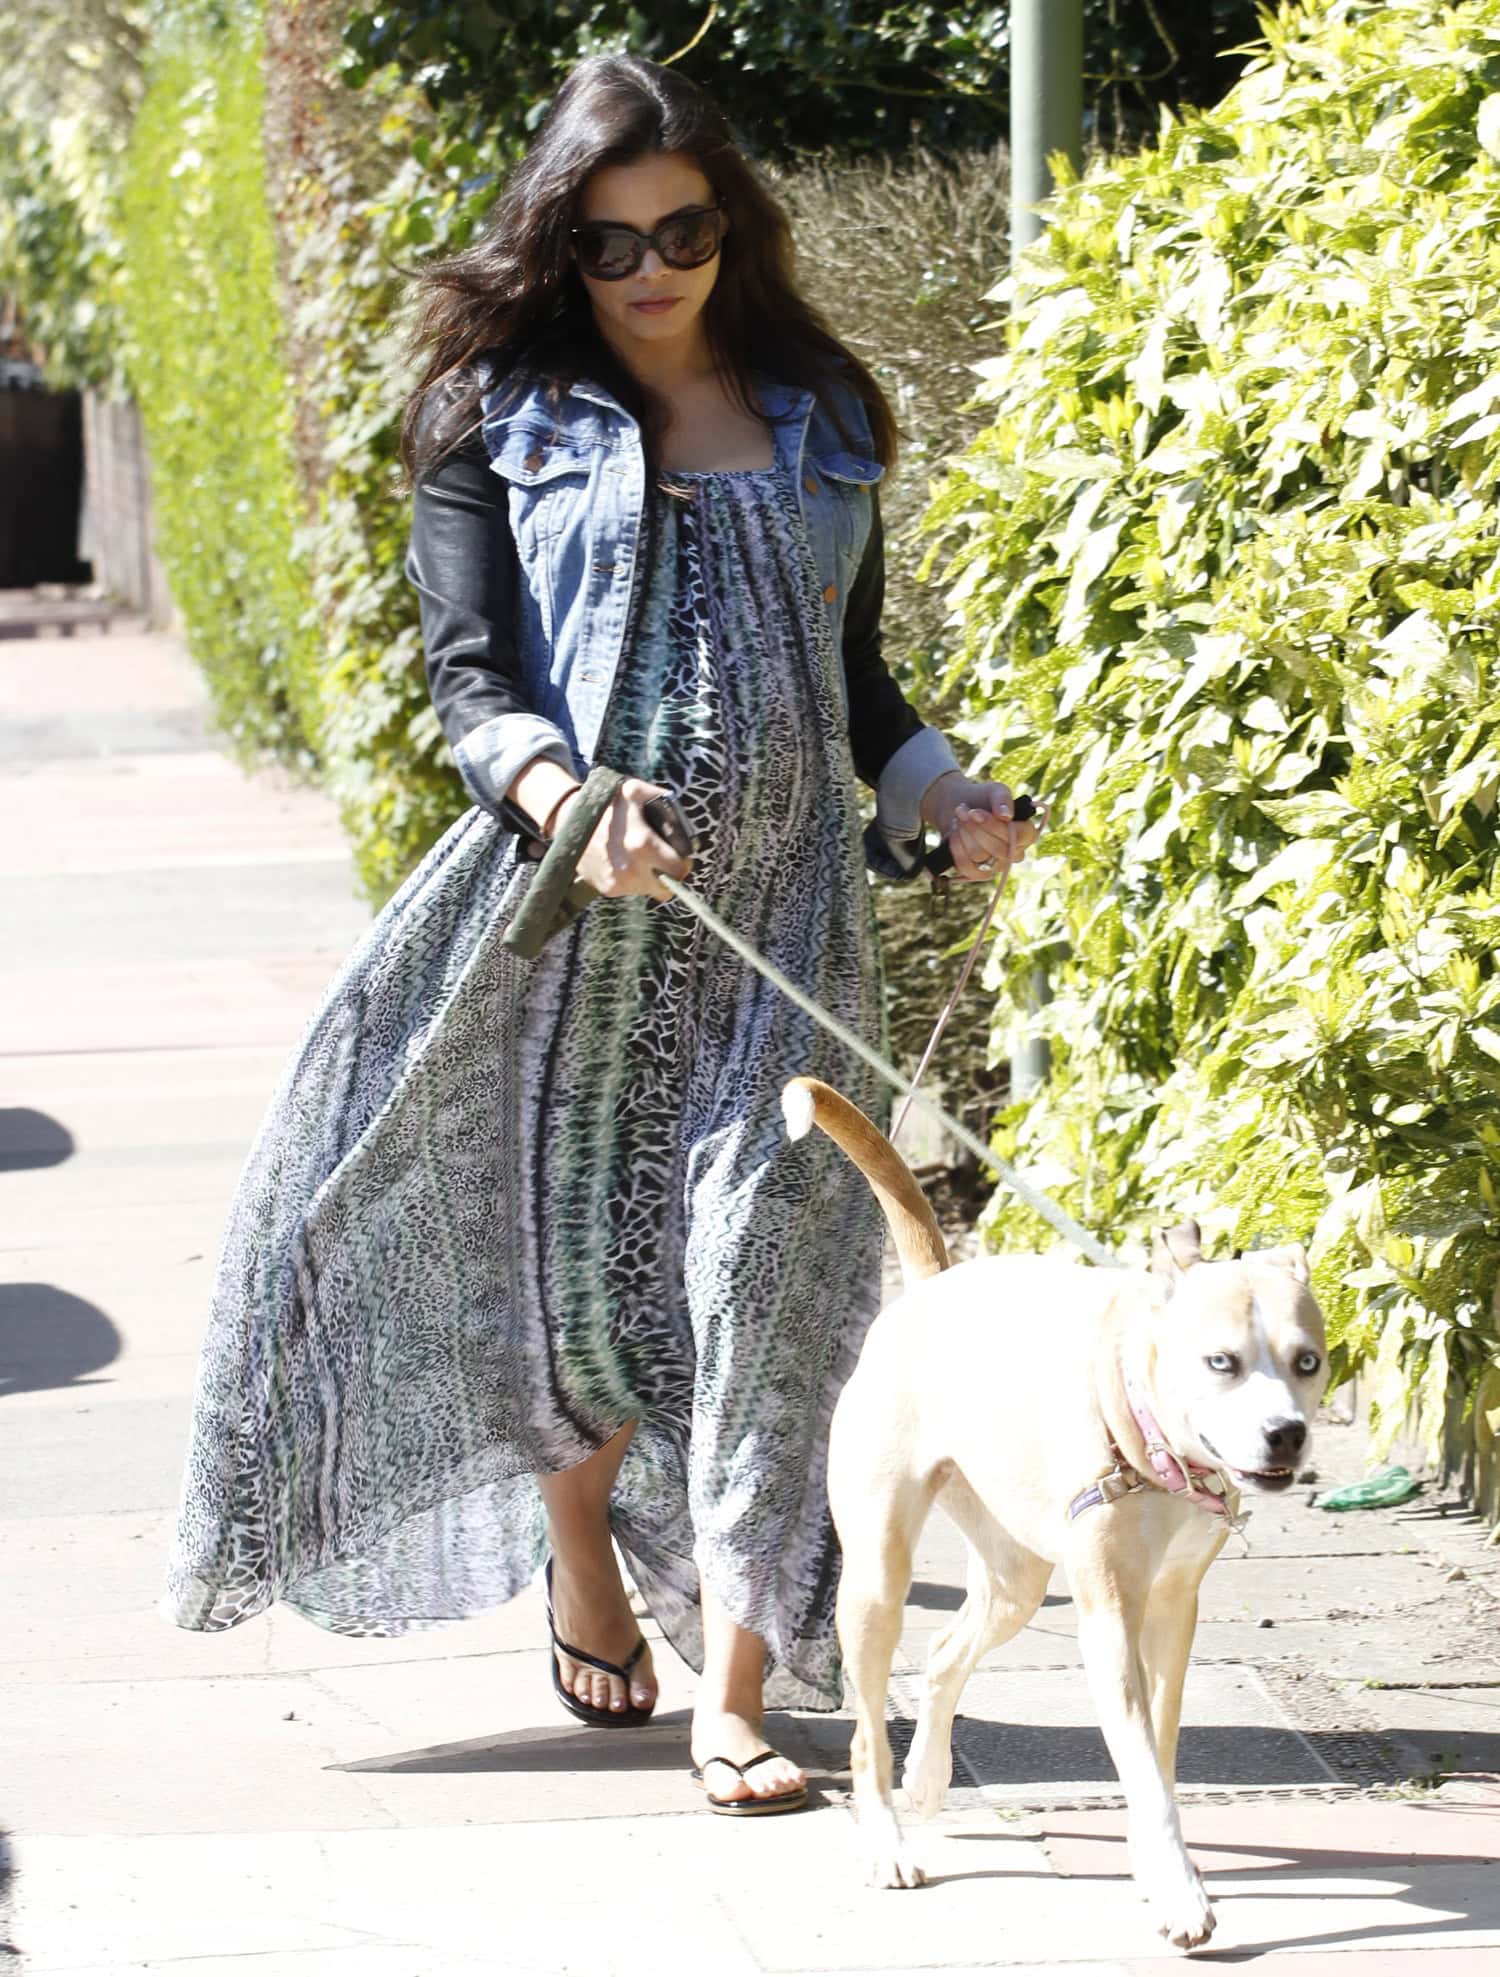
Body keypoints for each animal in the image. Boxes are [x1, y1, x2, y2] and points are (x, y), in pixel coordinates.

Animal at [778, 1083, 1328, 1945]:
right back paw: (888, 1840)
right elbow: (1143, 1768)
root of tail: (930, 1285)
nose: (1286, 1432)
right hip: (875, 1579)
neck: (1151, 1448)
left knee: (945, 1653)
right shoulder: (1108, 1620)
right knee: (868, 1727)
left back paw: (929, 1775)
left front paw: (1158, 1868)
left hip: (1017, 1579)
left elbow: (1160, 1753)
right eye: (1222, 1361)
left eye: (1308, 1360)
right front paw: (1180, 1892)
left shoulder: (1174, 1610)